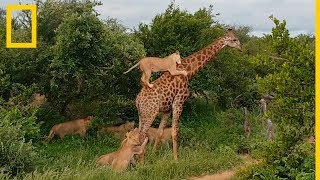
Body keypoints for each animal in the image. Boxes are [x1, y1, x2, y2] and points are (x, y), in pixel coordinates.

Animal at [135, 27, 242, 162]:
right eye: (234, 40)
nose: (241, 48)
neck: (188, 71)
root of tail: (138, 100)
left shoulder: (167, 109)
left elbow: (160, 132)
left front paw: (154, 155)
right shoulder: (179, 101)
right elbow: (175, 131)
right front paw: (176, 159)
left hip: (141, 113)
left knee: (139, 133)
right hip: (150, 113)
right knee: (142, 135)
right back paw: (141, 162)